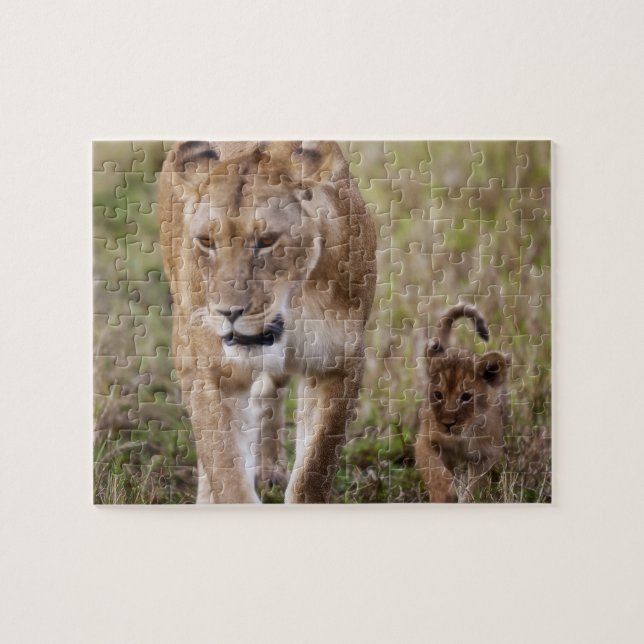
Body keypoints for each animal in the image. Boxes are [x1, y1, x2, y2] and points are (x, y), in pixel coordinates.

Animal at [157, 141, 377, 503]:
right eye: (206, 241)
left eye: (267, 241)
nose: (228, 312)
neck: (292, 307)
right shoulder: (209, 371)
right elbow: (225, 468)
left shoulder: (339, 363)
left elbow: (315, 467)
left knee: (268, 393)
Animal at [415, 305, 509, 502]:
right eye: (438, 395)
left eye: (466, 397)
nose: (447, 424)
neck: (462, 437)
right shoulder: (425, 439)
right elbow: (434, 469)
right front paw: (445, 494)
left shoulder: (488, 454)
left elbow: (477, 486)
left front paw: (467, 498)